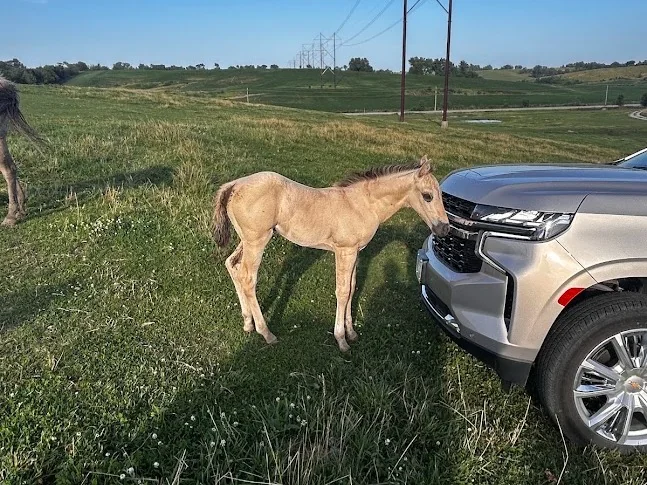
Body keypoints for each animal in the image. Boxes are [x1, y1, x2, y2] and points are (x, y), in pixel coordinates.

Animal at [211, 156, 449, 352]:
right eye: (428, 196)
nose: (444, 229)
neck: (362, 204)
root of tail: (234, 185)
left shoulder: (356, 252)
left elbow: (352, 288)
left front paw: (352, 332)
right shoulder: (344, 251)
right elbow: (342, 292)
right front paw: (341, 339)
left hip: (246, 240)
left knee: (232, 265)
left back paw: (247, 323)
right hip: (257, 240)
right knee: (248, 278)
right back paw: (266, 332)